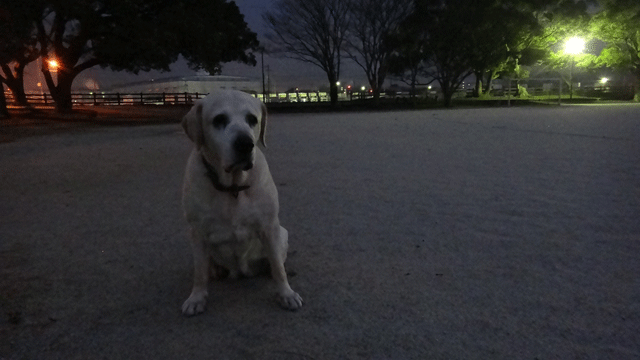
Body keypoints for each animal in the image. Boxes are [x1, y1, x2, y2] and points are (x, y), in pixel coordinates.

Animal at [178, 90, 302, 316]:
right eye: (219, 119)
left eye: (252, 119)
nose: (245, 144)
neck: (232, 186)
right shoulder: (196, 232)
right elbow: (199, 272)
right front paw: (197, 297)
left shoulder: (269, 226)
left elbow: (278, 269)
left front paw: (286, 293)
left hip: (282, 234)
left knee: (276, 261)